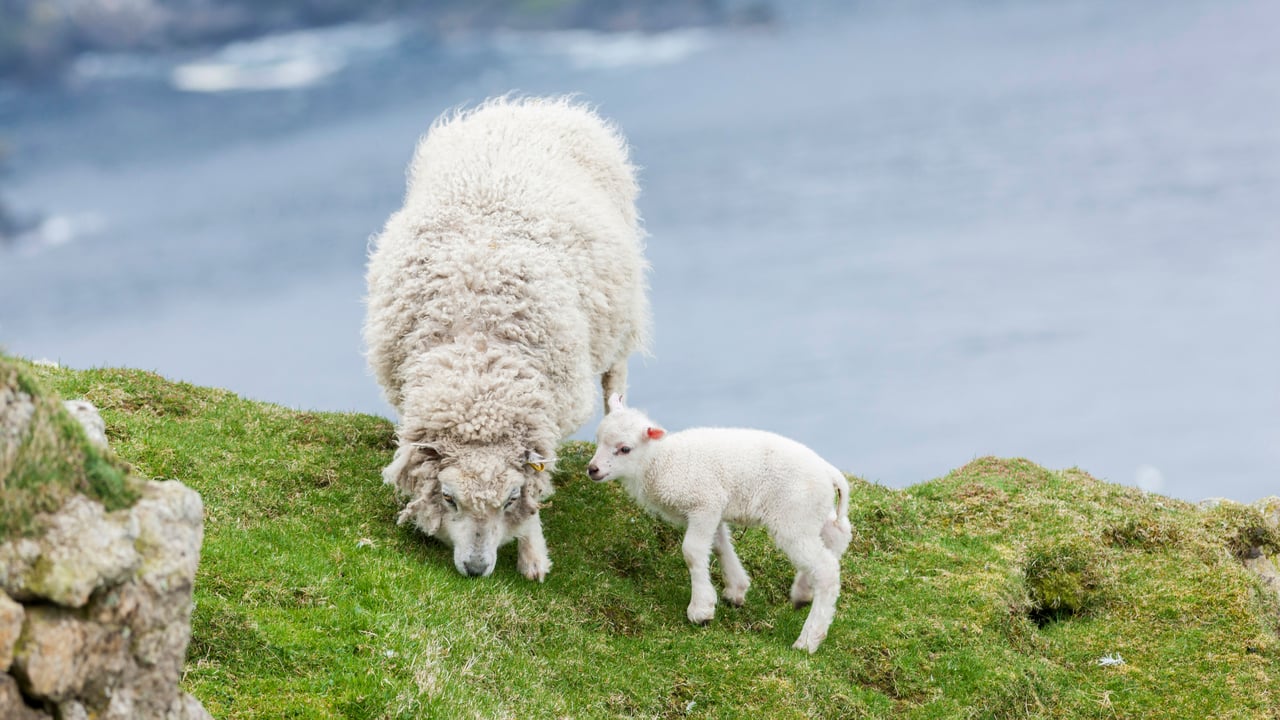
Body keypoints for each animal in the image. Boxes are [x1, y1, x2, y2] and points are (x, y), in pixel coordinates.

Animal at [364, 96, 651, 581]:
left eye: (509, 499)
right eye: (449, 498)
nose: (476, 568)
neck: (478, 358)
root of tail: (534, 106)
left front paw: (533, 556)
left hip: (621, 309)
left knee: (617, 374)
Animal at [587, 395, 852, 652]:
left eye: (624, 449)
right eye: (598, 440)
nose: (592, 469)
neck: (660, 461)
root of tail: (829, 473)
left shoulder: (705, 502)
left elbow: (692, 551)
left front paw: (700, 609)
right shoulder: (713, 508)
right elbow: (720, 544)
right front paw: (736, 589)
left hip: (793, 517)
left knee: (826, 569)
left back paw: (808, 640)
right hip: (810, 512)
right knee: (838, 533)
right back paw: (803, 593)